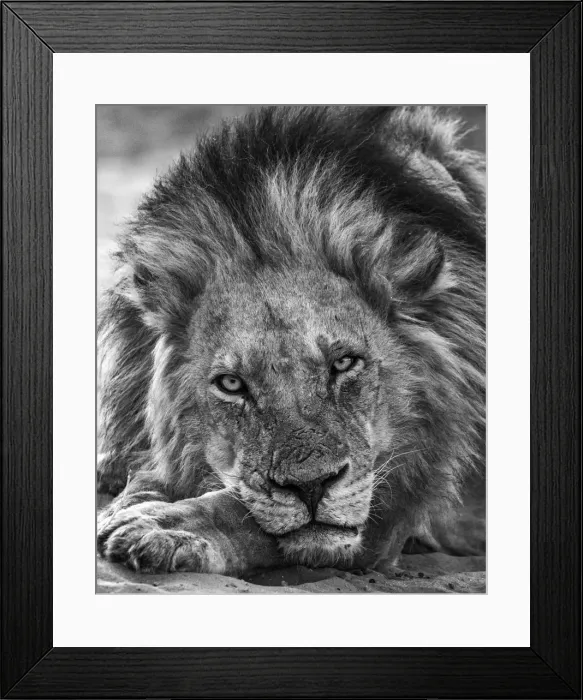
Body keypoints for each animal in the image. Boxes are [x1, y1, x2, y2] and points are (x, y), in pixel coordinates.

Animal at [97, 106, 485, 577]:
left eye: (344, 363)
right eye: (231, 384)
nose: (311, 486)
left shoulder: (392, 506)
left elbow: (240, 512)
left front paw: (161, 527)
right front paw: (132, 501)